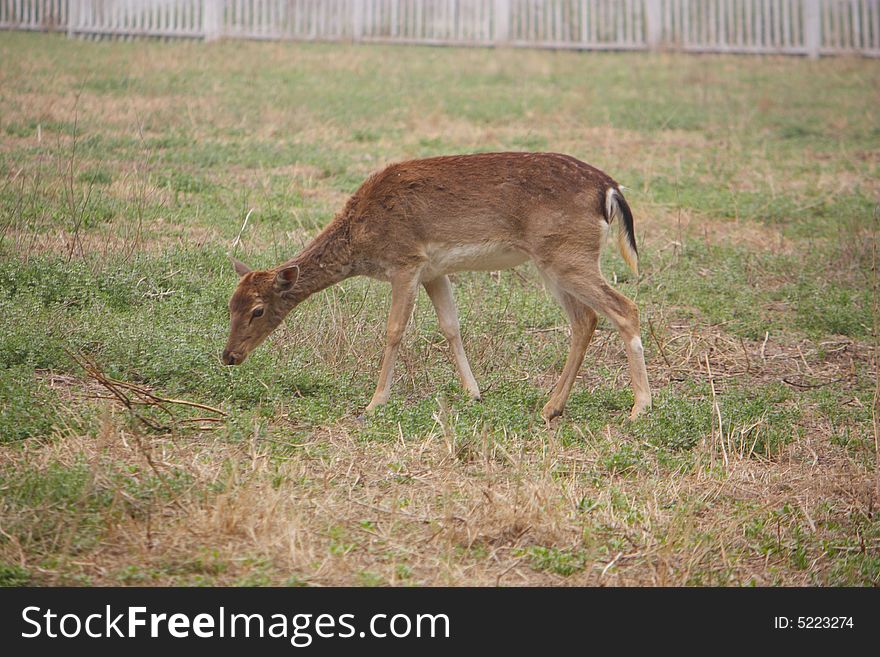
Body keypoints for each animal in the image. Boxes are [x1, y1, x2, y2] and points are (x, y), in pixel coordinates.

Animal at [225, 152, 652, 420]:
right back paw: (552, 407)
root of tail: (611, 190)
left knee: (624, 308)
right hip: (555, 260)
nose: (229, 355)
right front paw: (473, 392)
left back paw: (640, 408)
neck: (362, 239)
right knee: (585, 319)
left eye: (258, 310)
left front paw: (375, 403)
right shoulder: (433, 270)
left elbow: (394, 330)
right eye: (230, 304)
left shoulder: (405, 262)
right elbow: (451, 326)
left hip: (567, 255)